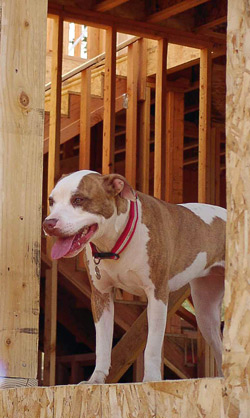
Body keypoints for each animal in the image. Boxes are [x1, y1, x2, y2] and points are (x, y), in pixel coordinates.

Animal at [43, 170, 227, 382]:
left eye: (78, 199)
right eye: (51, 201)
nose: (48, 223)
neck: (113, 243)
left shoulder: (157, 294)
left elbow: (152, 346)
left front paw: (151, 379)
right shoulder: (101, 296)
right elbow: (102, 345)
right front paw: (96, 379)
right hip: (206, 312)